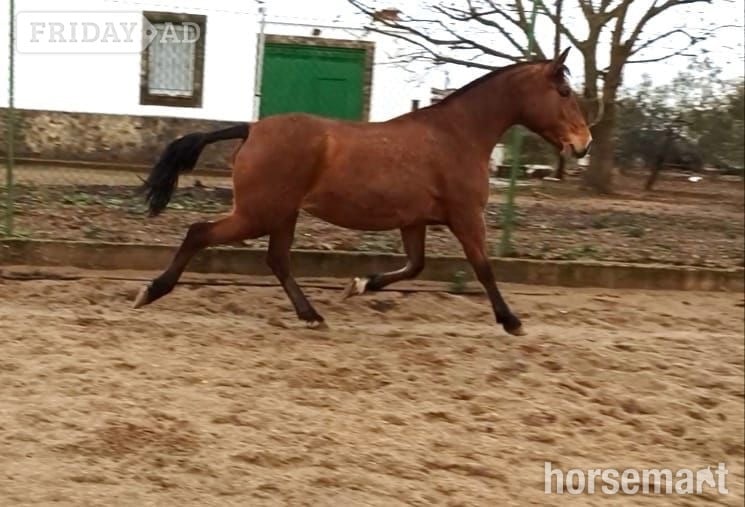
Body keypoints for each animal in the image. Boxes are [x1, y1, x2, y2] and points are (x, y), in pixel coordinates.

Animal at [134, 47, 592, 336]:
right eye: (564, 92)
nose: (583, 144)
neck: (457, 134)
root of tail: (251, 128)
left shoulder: (414, 222)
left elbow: (415, 266)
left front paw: (358, 284)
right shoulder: (465, 217)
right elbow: (483, 268)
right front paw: (512, 321)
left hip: (282, 214)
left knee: (277, 260)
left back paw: (312, 316)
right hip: (258, 213)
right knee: (199, 233)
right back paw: (149, 292)